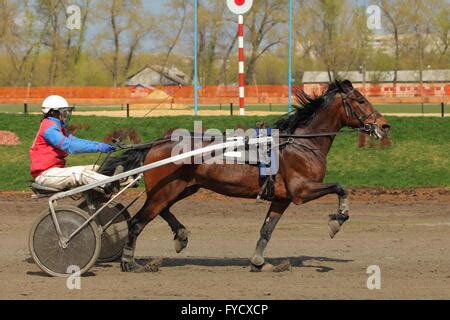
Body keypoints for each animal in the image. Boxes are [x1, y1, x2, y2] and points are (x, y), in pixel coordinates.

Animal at [101, 80, 390, 272]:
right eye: (361, 100)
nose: (384, 125)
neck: (300, 143)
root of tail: (156, 144)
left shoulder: (282, 198)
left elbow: (266, 230)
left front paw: (258, 261)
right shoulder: (302, 190)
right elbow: (341, 188)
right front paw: (337, 220)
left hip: (182, 188)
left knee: (159, 211)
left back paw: (180, 236)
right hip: (167, 189)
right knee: (138, 221)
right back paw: (129, 262)